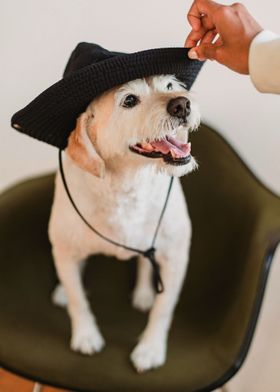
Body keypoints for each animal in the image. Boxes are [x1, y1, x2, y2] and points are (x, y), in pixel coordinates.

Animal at [48, 74, 201, 374]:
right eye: (129, 100)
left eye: (169, 86)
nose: (182, 104)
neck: (128, 185)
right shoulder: (65, 250)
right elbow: (78, 299)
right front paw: (86, 335)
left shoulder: (175, 257)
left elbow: (163, 309)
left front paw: (150, 348)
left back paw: (143, 294)